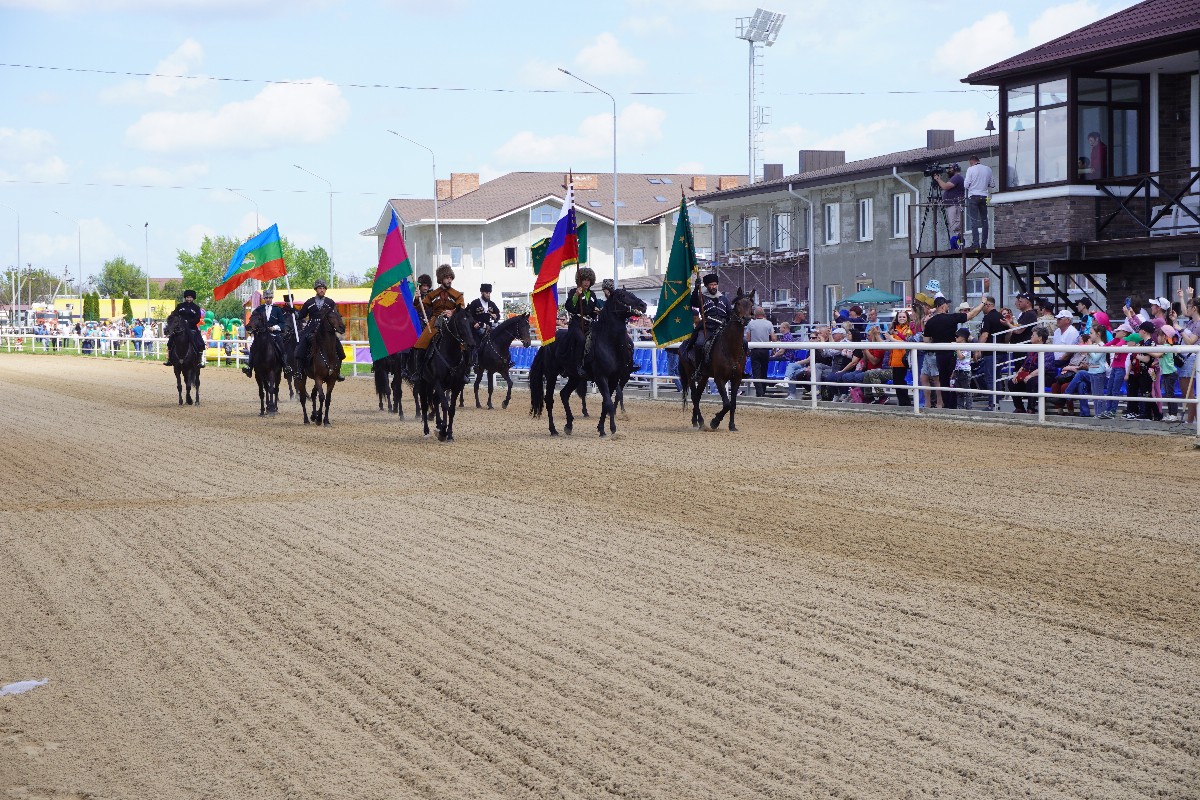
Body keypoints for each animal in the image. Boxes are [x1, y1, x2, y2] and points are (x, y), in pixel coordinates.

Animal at [417, 309, 472, 443]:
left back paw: (439, 423)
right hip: (424, 383)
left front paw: (449, 434)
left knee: (435, 400)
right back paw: (427, 431)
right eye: (459, 322)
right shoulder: (438, 383)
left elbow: (451, 409)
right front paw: (443, 432)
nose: (470, 344)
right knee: (425, 405)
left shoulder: (456, 386)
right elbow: (445, 405)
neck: (450, 353)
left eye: (471, 322)